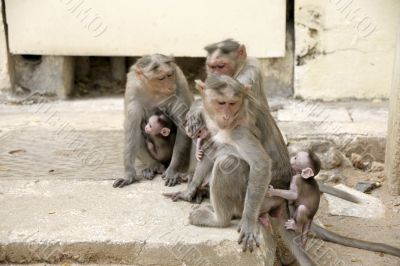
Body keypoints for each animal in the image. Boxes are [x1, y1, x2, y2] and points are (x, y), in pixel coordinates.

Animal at [112, 53, 194, 187]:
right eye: (161, 78)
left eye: (170, 75)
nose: (171, 86)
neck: (154, 90)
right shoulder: (132, 87)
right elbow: (131, 129)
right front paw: (128, 175)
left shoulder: (180, 82)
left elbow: (184, 127)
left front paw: (172, 171)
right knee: (137, 129)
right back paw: (152, 165)